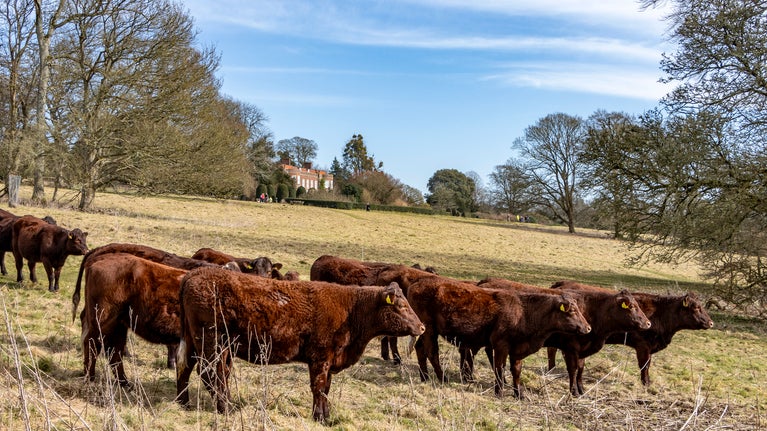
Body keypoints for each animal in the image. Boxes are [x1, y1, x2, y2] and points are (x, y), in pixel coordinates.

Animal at [175, 267, 425, 422]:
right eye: (401, 306)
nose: (422, 327)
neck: (352, 309)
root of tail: (195, 274)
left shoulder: (329, 361)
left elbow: (326, 390)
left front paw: (326, 416)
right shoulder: (320, 358)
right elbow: (319, 388)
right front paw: (320, 417)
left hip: (199, 342)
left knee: (186, 367)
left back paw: (185, 403)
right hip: (213, 342)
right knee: (210, 373)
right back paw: (226, 408)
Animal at [406, 276, 592, 397]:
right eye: (572, 311)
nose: (588, 328)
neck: (523, 312)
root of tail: (417, 284)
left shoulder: (517, 349)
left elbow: (516, 370)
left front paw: (519, 394)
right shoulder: (500, 346)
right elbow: (499, 368)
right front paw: (500, 391)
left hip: (425, 331)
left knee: (420, 349)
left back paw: (424, 377)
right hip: (430, 330)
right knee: (432, 352)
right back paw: (442, 377)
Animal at [548, 280, 714, 386]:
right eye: (696, 308)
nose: (711, 323)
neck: (660, 313)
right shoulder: (643, 346)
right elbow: (644, 365)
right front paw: (645, 383)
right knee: (552, 349)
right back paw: (551, 369)